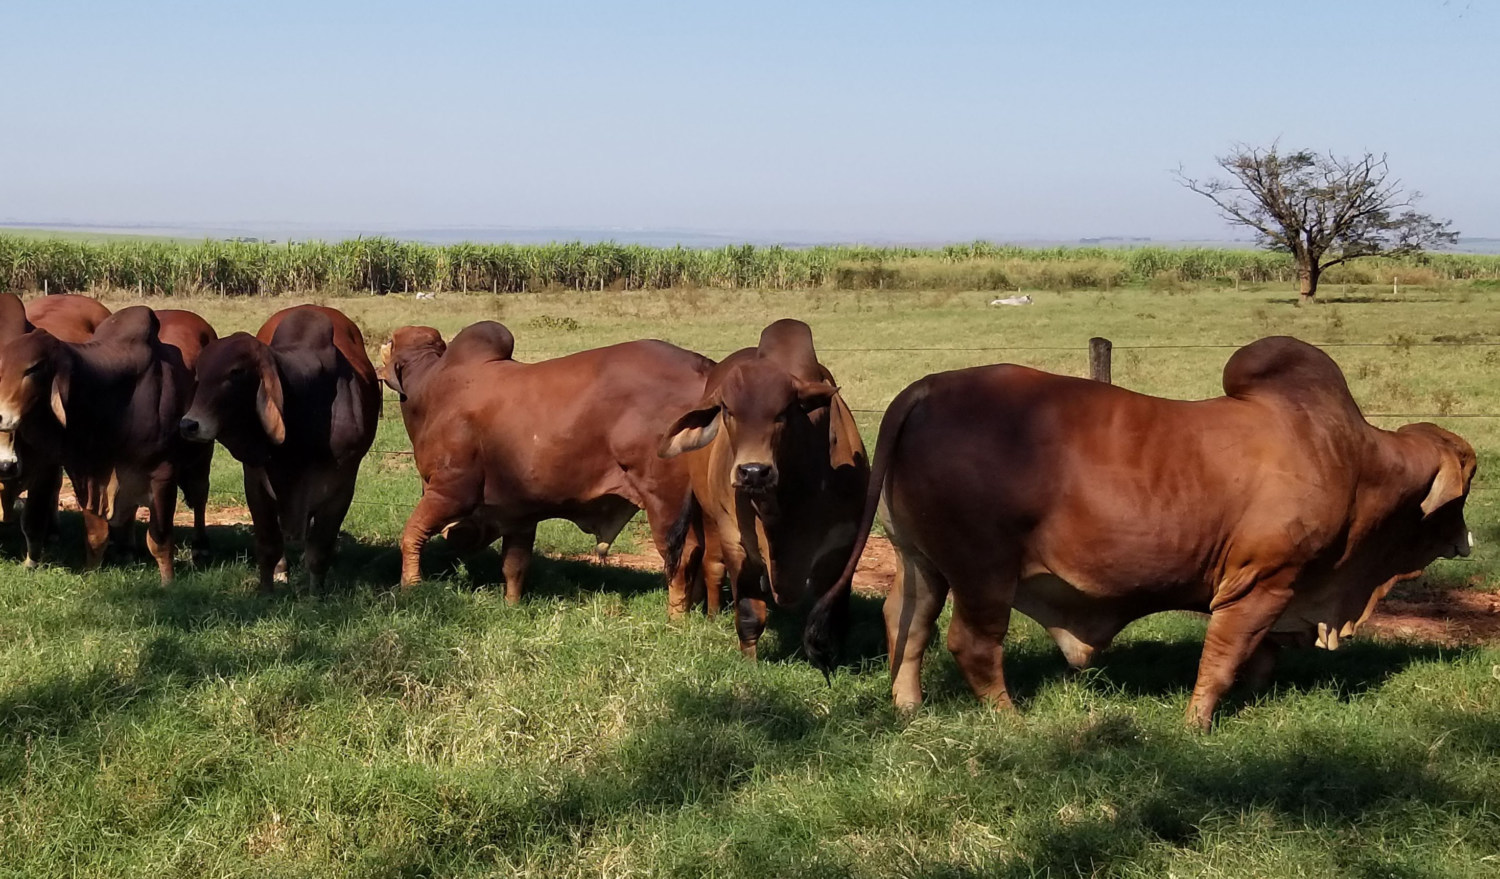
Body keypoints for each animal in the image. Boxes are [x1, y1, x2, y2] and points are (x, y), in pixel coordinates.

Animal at [0, 304, 196, 579]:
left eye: (33, 368)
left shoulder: (163, 475)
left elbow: (160, 541)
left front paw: (168, 581)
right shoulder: (87, 475)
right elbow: (96, 536)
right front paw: (91, 572)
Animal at [177, 304, 378, 591]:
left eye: (236, 372)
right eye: (199, 374)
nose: (188, 424)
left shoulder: (342, 486)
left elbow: (320, 550)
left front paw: (316, 594)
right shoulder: (255, 482)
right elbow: (268, 546)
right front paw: (266, 591)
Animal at [378, 321, 711, 603]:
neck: (431, 385)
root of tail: (706, 370)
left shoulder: (450, 492)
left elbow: (412, 534)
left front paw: (410, 585)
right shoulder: (519, 513)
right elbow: (514, 565)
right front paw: (511, 605)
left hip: (665, 501)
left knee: (681, 557)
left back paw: (677, 617)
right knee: (701, 554)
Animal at [660, 318, 870, 654]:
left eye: (784, 412)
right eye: (727, 410)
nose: (753, 472)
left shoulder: (843, 544)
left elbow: (832, 615)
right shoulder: (736, 539)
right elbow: (748, 613)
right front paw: (749, 659)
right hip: (710, 517)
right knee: (712, 564)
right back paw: (712, 615)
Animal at [810, 336, 1476, 726]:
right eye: (1467, 486)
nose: (1467, 540)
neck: (1355, 460)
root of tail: (928, 387)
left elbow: (1259, 657)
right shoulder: (1262, 581)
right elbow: (1224, 658)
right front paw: (1197, 725)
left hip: (921, 560)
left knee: (906, 623)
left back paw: (909, 707)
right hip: (983, 570)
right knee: (970, 644)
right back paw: (1012, 721)